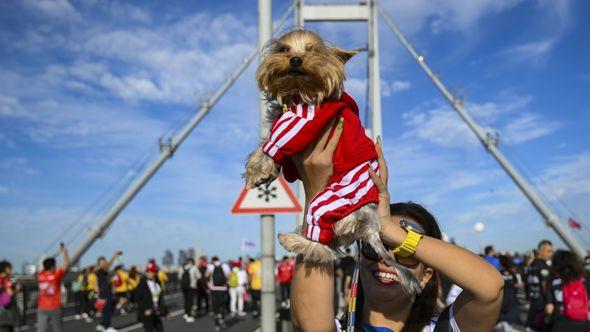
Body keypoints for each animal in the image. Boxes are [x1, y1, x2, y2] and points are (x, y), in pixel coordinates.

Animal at [244, 29, 420, 294]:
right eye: (284, 49)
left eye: (312, 50)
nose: (295, 59)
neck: (300, 90)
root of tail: (372, 227)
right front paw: (269, 172)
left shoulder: (304, 121)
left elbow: (275, 142)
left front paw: (257, 170)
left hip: (329, 202)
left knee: (325, 248)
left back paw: (292, 239)